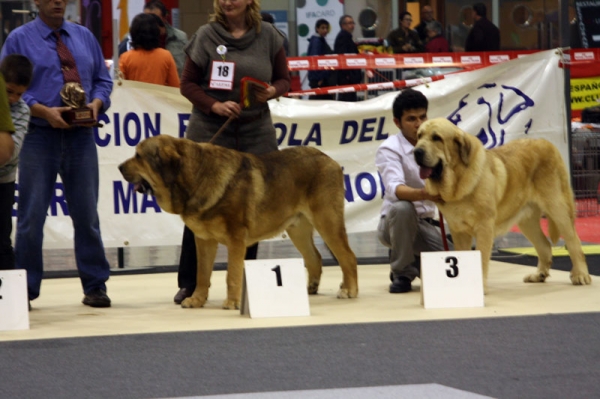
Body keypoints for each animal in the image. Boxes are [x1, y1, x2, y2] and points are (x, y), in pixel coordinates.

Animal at [119, 136, 358, 310]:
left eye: (139, 156)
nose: (120, 167)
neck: (197, 176)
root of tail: (329, 159)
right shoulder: (203, 240)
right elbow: (202, 274)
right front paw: (197, 300)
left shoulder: (236, 239)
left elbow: (232, 274)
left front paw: (232, 302)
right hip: (297, 229)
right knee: (314, 257)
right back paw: (309, 288)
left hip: (327, 222)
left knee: (347, 257)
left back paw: (349, 290)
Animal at [412, 117, 592, 292]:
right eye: (419, 136)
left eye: (436, 138)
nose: (416, 151)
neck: (458, 177)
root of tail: (546, 143)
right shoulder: (459, 231)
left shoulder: (484, 228)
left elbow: (482, 258)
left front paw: (480, 287)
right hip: (527, 221)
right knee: (545, 245)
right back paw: (539, 275)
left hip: (558, 208)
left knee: (574, 242)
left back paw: (581, 275)